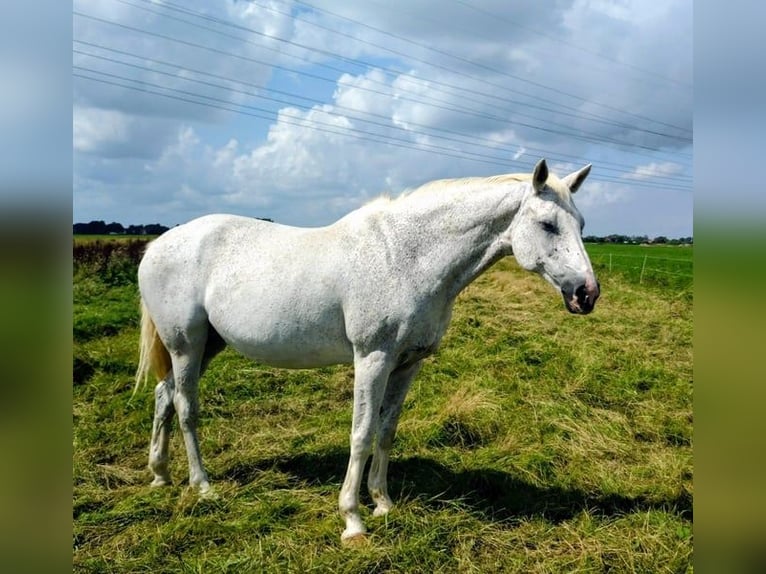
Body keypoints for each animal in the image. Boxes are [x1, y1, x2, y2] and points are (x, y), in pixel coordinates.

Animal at [135, 158, 599, 542]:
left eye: (580, 224)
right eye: (548, 225)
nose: (587, 294)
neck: (407, 257)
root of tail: (157, 246)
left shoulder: (408, 364)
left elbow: (386, 430)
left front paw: (383, 503)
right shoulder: (372, 358)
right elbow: (360, 433)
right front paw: (352, 520)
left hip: (205, 346)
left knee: (163, 396)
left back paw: (160, 474)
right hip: (186, 344)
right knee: (186, 406)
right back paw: (202, 486)